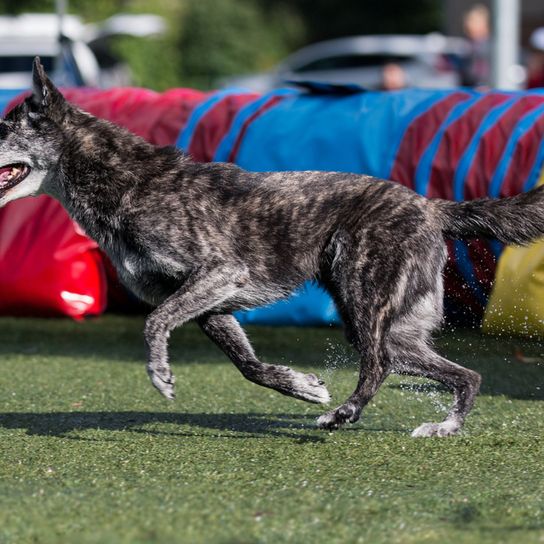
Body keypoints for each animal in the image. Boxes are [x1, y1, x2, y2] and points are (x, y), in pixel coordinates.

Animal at [2, 57, 540, 436]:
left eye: (3, 129)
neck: (126, 180)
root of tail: (430, 206)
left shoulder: (220, 273)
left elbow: (154, 324)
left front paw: (160, 374)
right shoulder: (212, 307)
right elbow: (249, 367)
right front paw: (301, 386)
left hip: (365, 299)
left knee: (379, 364)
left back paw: (346, 414)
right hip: (394, 326)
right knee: (465, 376)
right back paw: (443, 426)